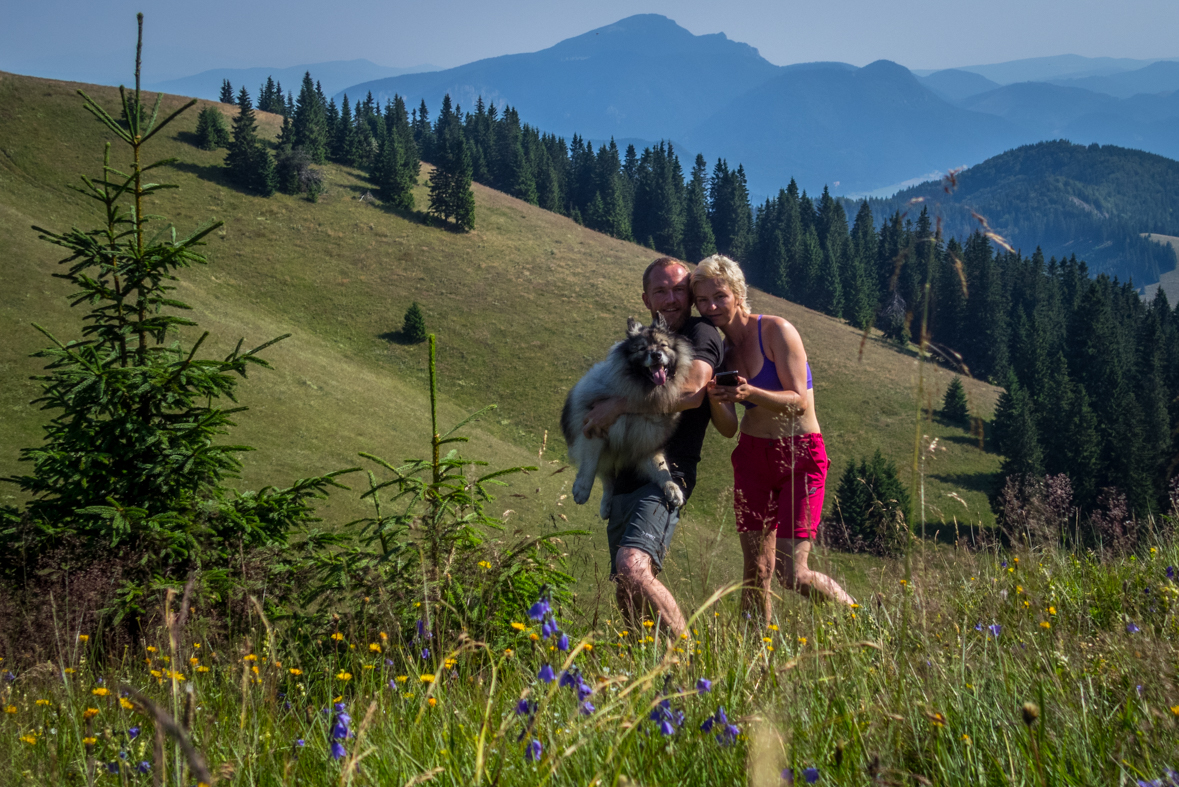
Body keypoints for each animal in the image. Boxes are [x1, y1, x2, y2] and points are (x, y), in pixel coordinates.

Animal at [558, 313, 688, 523]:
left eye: (663, 345)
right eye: (642, 348)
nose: (656, 355)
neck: (644, 395)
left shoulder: (646, 443)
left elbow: (662, 469)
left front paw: (672, 489)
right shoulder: (595, 429)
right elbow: (589, 464)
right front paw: (582, 490)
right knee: (607, 478)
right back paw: (604, 504)